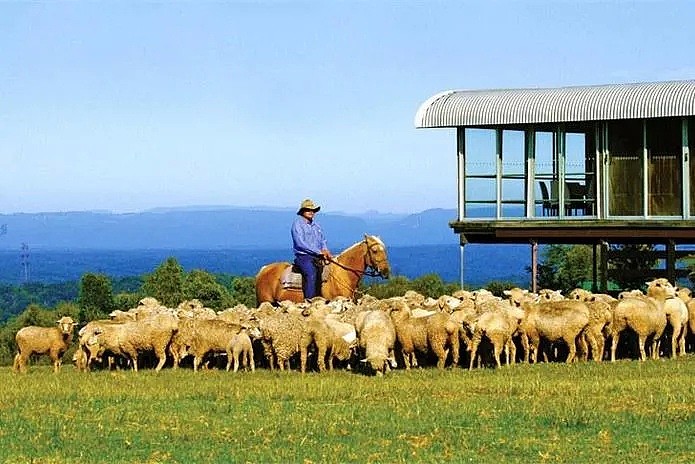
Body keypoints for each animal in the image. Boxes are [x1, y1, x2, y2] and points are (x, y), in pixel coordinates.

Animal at [256, 236, 392, 304]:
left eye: (384, 249)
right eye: (374, 251)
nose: (386, 271)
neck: (344, 274)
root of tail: (264, 270)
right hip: (266, 302)